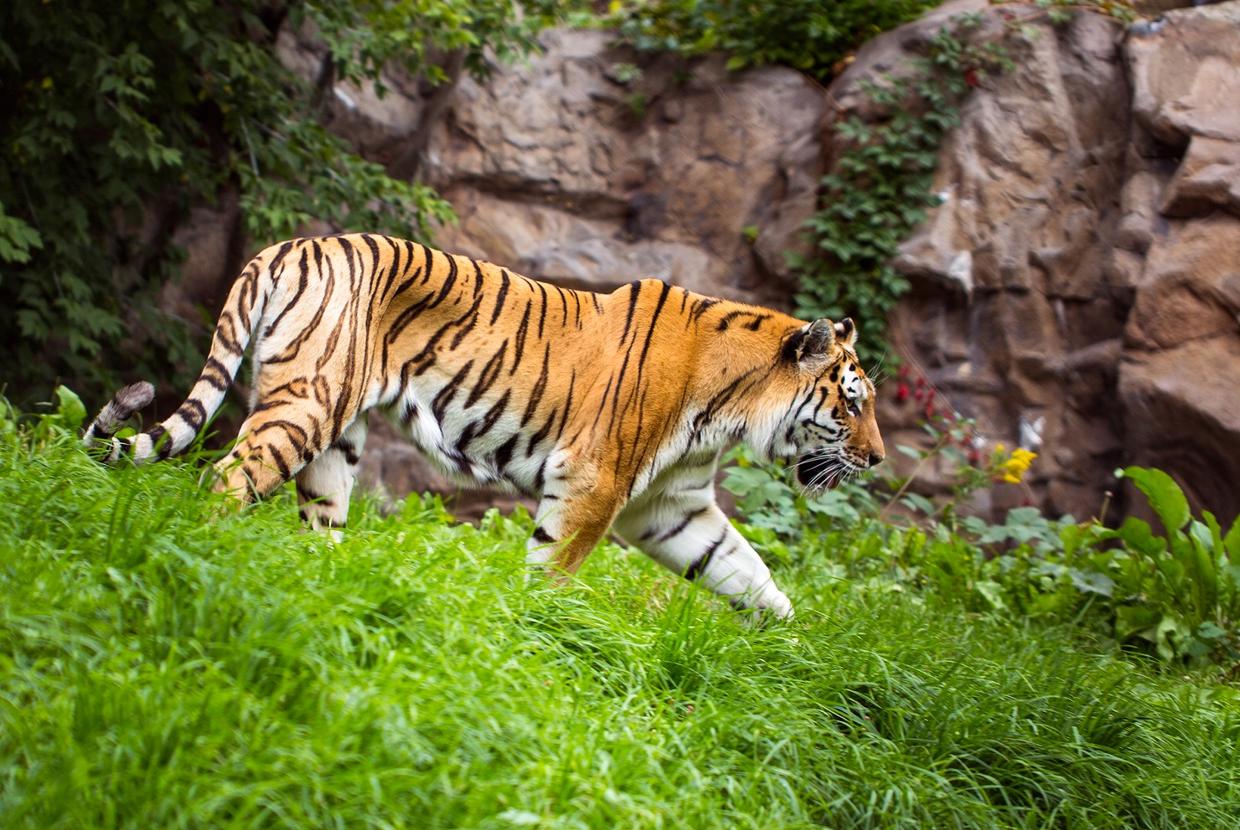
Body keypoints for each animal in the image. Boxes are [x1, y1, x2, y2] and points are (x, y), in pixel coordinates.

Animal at [82, 232, 882, 615]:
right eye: (853, 402)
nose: (876, 460)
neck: (731, 409)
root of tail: (291, 245)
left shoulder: (670, 505)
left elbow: (747, 571)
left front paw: (794, 653)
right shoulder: (594, 484)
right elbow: (553, 568)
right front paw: (534, 633)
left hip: (337, 436)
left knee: (316, 520)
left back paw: (324, 588)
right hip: (306, 405)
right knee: (224, 479)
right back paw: (198, 558)